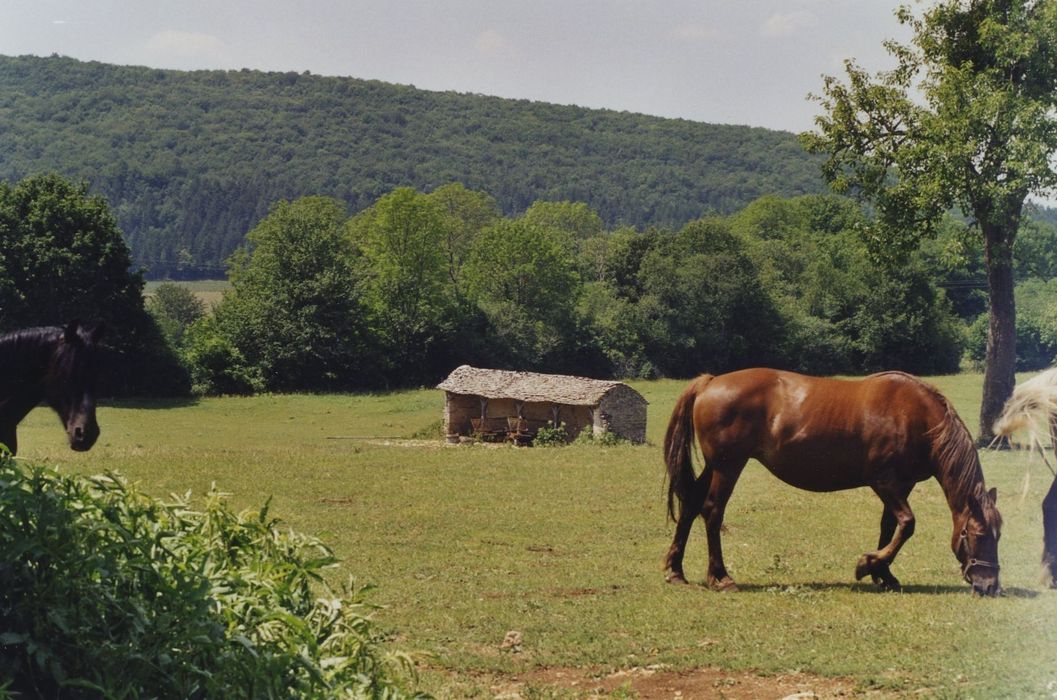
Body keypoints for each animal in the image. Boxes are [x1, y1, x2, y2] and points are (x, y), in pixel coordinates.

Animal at [663, 370, 1002, 596]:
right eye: (979, 535)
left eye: (999, 535)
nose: (990, 586)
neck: (914, 415)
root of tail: (711, 381)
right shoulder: (885, 483)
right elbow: (907, 524)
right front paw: (867, 564)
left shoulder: (901, 486)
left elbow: (889, 526)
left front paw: (882, 572)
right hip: (728, 467)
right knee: (712, 511)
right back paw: (720, 577)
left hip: (715, 467)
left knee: (691, 504)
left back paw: (676, 571)